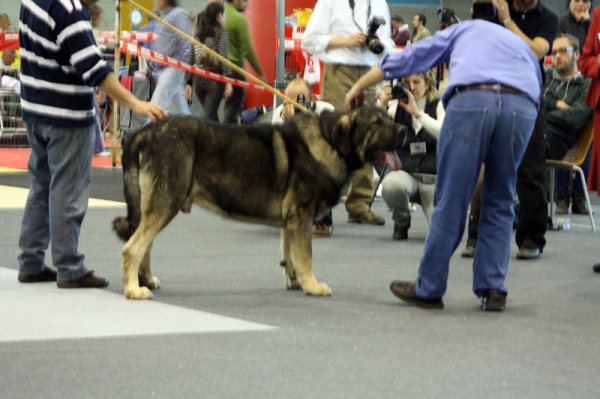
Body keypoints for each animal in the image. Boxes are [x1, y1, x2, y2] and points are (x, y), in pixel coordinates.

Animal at [112, 106, 406, 300]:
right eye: (375, 123)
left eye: (388, 117)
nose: (404, 130)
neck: (331, 141)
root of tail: (144, 134)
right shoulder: (302, 216)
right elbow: (306, 256)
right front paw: (313, 286)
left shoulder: (291, 220)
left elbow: (290, 255)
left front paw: (294, 281)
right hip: (167, 200)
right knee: (132, 247)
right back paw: (133, 290)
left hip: (160, 203)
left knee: (145, 243)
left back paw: (145, 280)